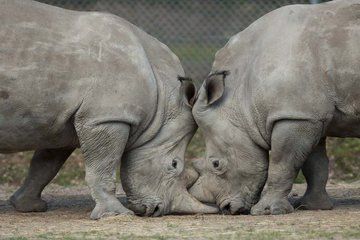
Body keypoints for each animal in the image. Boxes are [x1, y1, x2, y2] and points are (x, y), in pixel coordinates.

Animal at [1, 0, 218, 219]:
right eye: (174, 165)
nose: (156, 210)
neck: (163, 102)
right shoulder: (107, 117)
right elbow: (103, 166)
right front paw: (115, 214)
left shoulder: (62, 122)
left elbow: (45, 165)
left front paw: (29, 206)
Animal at [188, 0, 360, 215]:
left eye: (216, 164)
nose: (227, 209)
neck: (239, 93)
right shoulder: (307, 113)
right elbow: (315, 165)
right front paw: (312, 206)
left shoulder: (293, 116)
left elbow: (282, 163)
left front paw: (267, 211)